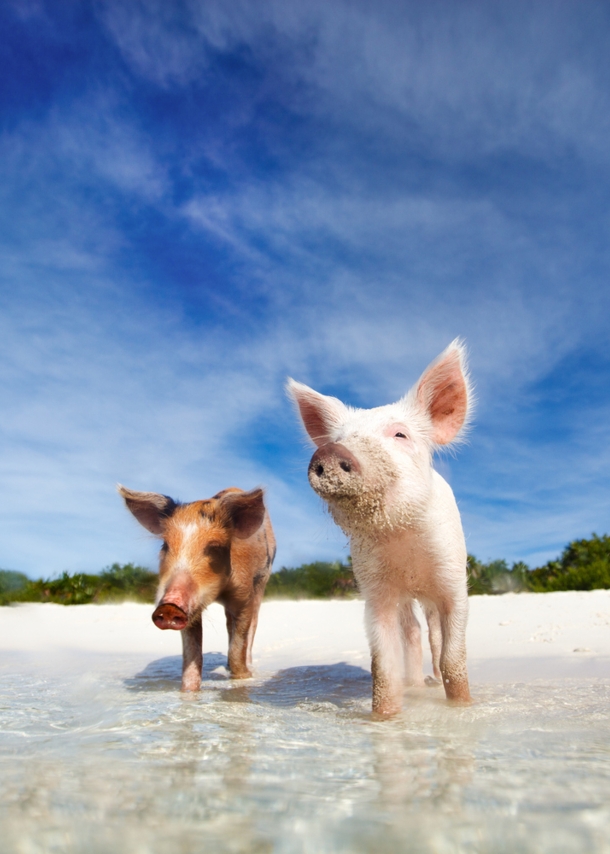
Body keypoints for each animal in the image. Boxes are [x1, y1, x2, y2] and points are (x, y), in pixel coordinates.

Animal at [288, 344, 470, 720]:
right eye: (339, 439)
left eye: (400, 434)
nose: (330, 452)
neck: (402, 538)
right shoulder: (375, 588)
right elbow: (383, 666)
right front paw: (384, 718)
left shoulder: (453, 577)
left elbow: (453, 657)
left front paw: (462, 706)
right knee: (412, 632)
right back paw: (416, 686)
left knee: (432, 634)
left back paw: (431, 681)